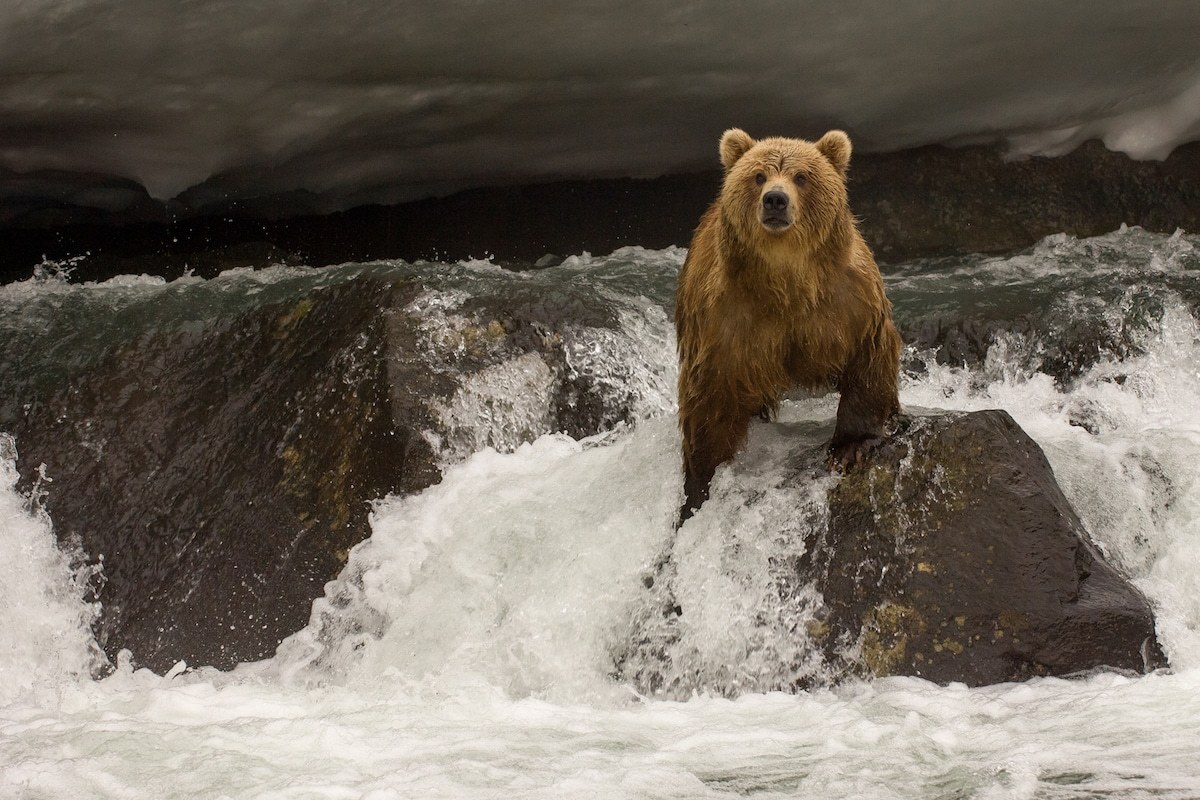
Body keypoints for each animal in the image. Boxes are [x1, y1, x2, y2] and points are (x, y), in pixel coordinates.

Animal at [676, 128, 902, 522]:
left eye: (801, 176)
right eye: (758, 176)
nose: (775, 200)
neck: (786, 281)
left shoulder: (848, 300)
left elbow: (868, 358)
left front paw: (850, 447)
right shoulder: (724, 318)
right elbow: (709, 397)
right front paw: (699, 484)